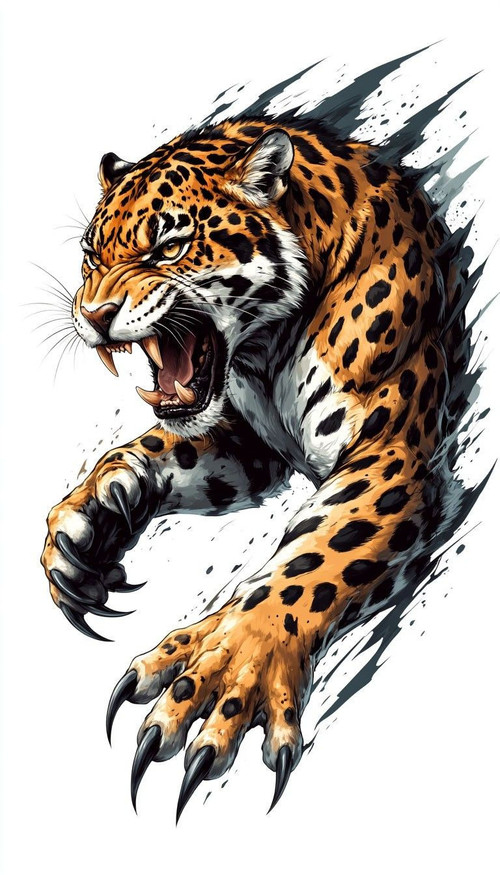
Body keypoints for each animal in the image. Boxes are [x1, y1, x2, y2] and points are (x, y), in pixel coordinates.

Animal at [40, 97, 476, 819]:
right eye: (90, 256)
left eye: (169, 245)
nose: (94, 315)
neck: (262, 352)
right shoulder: (245, 442)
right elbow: (158, 446)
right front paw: (90, 519)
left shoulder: (392, 455)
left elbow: (312, 559)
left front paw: (227, 667)